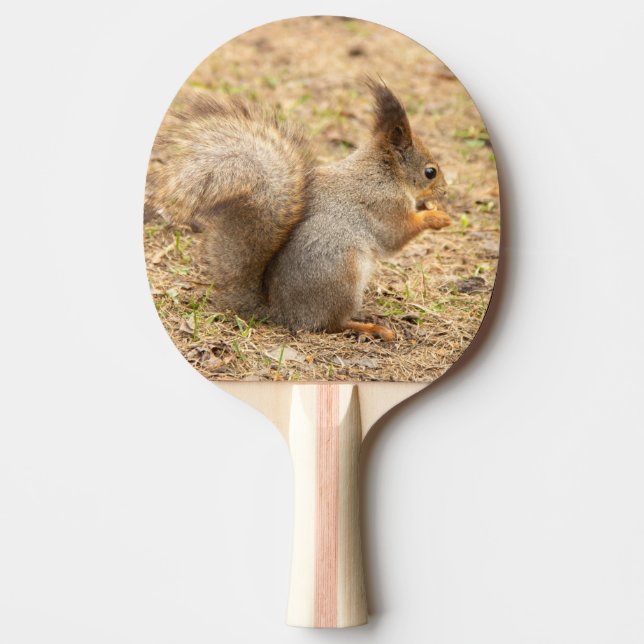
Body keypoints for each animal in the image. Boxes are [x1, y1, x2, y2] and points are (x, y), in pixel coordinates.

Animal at [146, 79, 450, 341]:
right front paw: (436, 217)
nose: (446, 191)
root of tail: (282, 313)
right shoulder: (384, 205)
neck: (384, 173)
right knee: (331, 324)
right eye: (430, 172)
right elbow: (396, 235)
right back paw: (370, 328)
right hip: (342, 274)